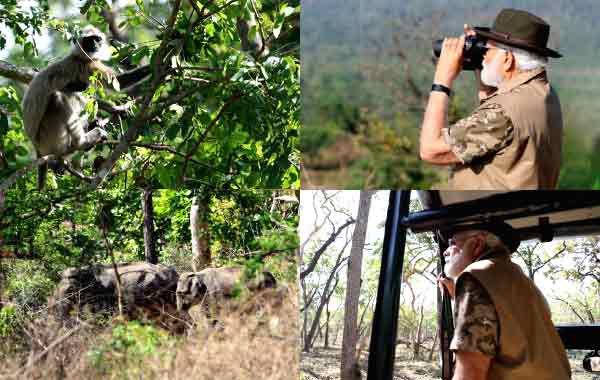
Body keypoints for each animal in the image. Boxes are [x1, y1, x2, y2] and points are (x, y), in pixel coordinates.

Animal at [22, 25, 114, 190]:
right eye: (88, 40)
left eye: (97, 39)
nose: (94, 45)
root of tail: (37, 148)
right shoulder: (87, 65)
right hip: (50, 137)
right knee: (57, 98)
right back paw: (83, 142)